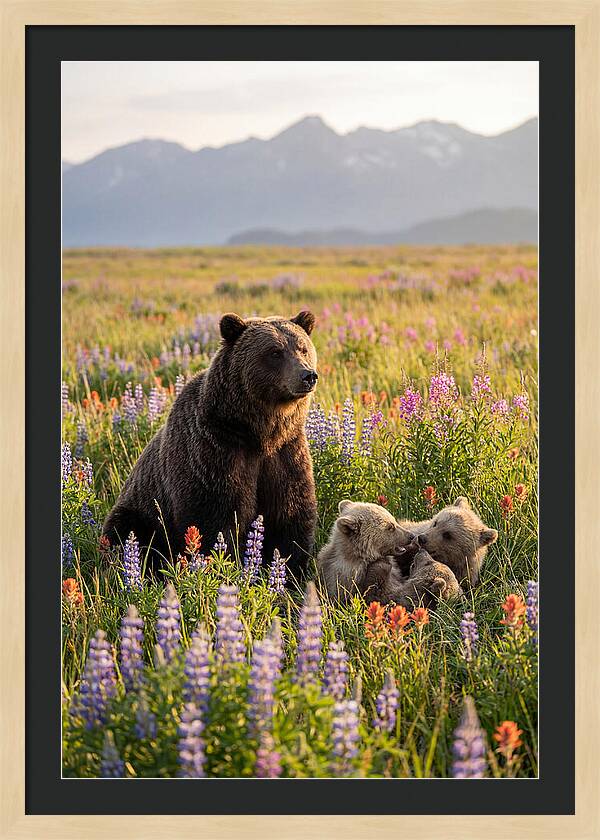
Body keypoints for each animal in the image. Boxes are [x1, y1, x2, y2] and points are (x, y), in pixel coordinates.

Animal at [102, 310, 319, 581]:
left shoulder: (286, 453)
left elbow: (290, 515)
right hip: (140, 511)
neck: (258, 432)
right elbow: (216, 518)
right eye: (275, 352)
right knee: (128, 534)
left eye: (303, 348)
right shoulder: (215, 451)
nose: (307, 375)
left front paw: (290, 575)